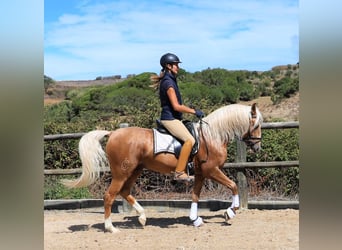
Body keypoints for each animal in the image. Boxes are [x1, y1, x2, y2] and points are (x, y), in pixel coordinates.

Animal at [62, 102, 264, 233]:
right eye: (256, 125)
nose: (257, 147)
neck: (212, 136)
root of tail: (112, 133)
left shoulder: (200, 174)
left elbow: (195, 196)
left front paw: (195, 220)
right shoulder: (212, 170)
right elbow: (234, 186)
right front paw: (230, 212)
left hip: (135, 170)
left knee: (125, 192)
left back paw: (142, 217)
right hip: (121, 172)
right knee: (109, 196)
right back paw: (110, 227)